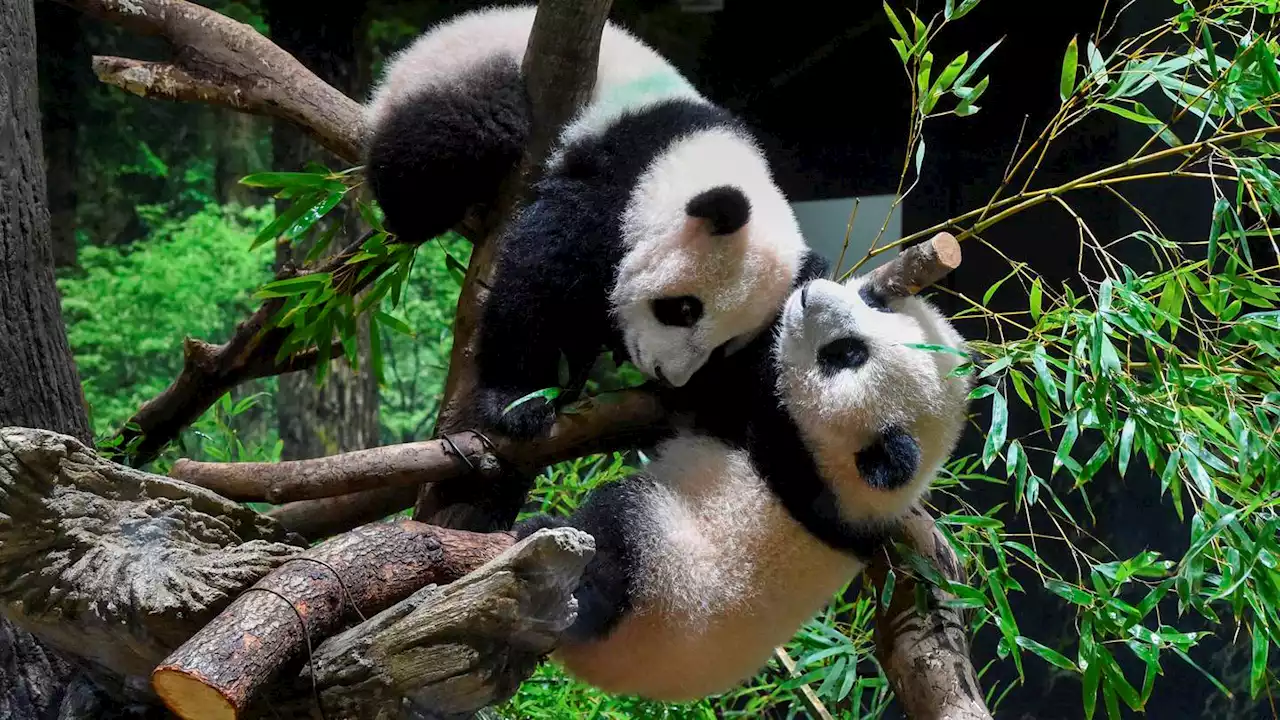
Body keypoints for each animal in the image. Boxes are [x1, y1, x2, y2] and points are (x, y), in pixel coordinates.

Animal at [363, 5, 819, 438]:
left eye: (724, 347)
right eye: (685, 309)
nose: (667, 375)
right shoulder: (615, 175)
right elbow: (541, 272)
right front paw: (519, 401)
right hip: (462, 74)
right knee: (454, 139)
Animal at [509, 270, 967, 702]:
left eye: (845, 355)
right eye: (875, 303)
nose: (810, 294)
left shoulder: (782, 444)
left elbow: (718, 390)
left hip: (661, 578)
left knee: (613, 543)